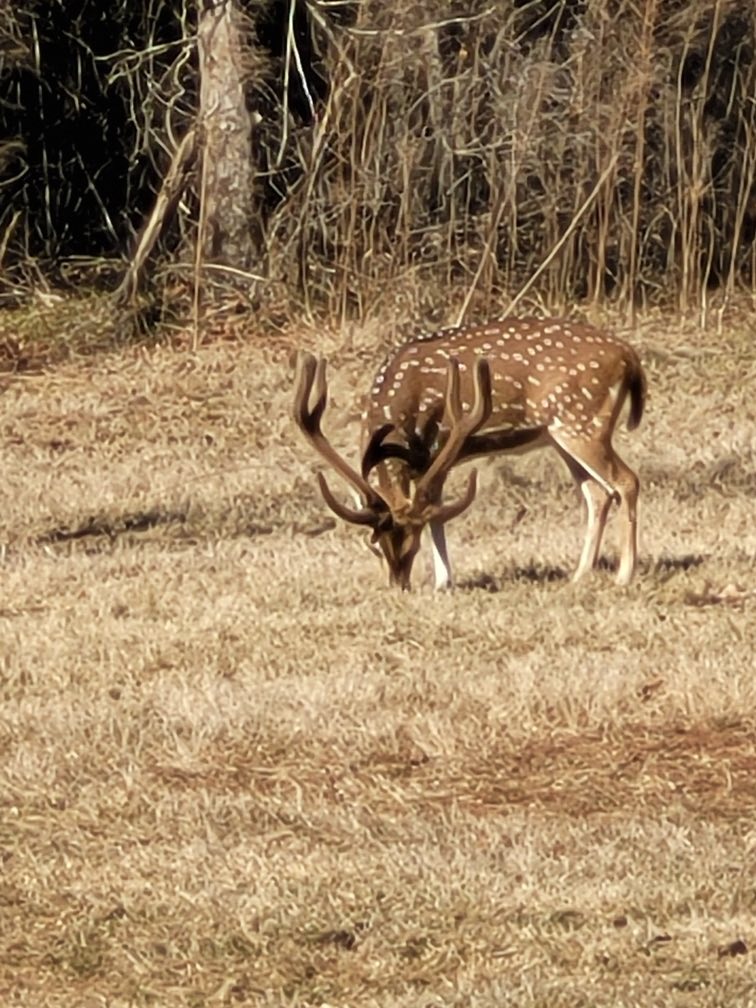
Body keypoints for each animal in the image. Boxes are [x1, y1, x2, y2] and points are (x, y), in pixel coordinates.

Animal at [293, 318, 646, 591]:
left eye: (413, 544)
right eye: (374, 546)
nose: (398, 585)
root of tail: (630, 357)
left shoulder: (441, 448)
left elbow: (436, 513)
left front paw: (443, 582)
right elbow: (436, 511)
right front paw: (442, 580)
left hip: (583, 423)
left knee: (626, 481)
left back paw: (624, 575)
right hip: (561, 435)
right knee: (597, 493)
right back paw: (579, 574)